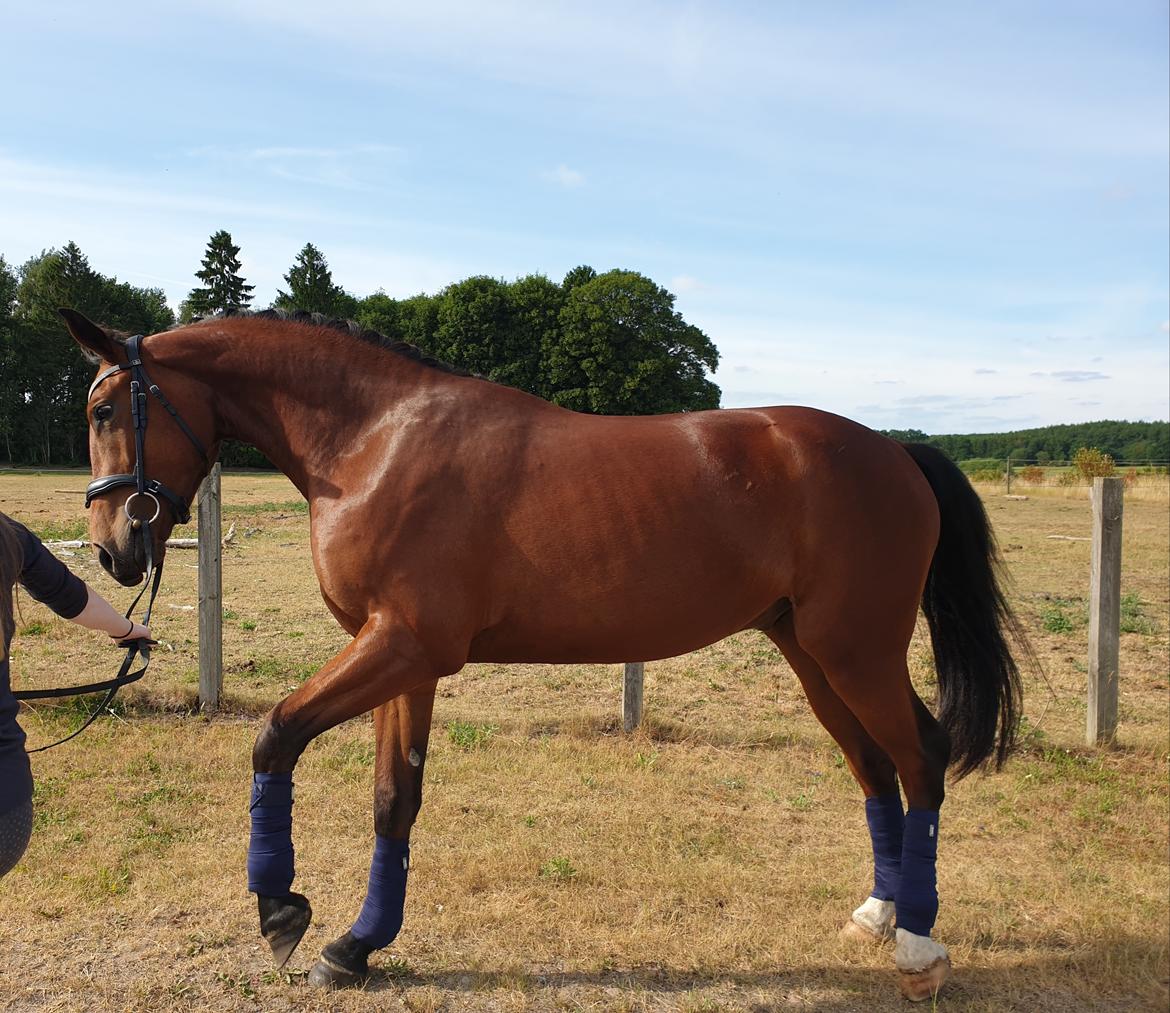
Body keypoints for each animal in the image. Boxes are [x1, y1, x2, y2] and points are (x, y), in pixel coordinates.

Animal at [61, 306, 1024, 996]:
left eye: (106, 409)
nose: (112, 549)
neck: (376, 441)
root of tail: (893, 449)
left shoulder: (401, 645)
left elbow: (277, 736)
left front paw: (280, 909)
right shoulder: (402, 659)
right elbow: (393, 799)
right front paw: (357, 945)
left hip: (857, 652)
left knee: (921, 756)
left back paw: (919, 944)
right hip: (813, 656)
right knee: (874, 765)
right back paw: (878, 913)